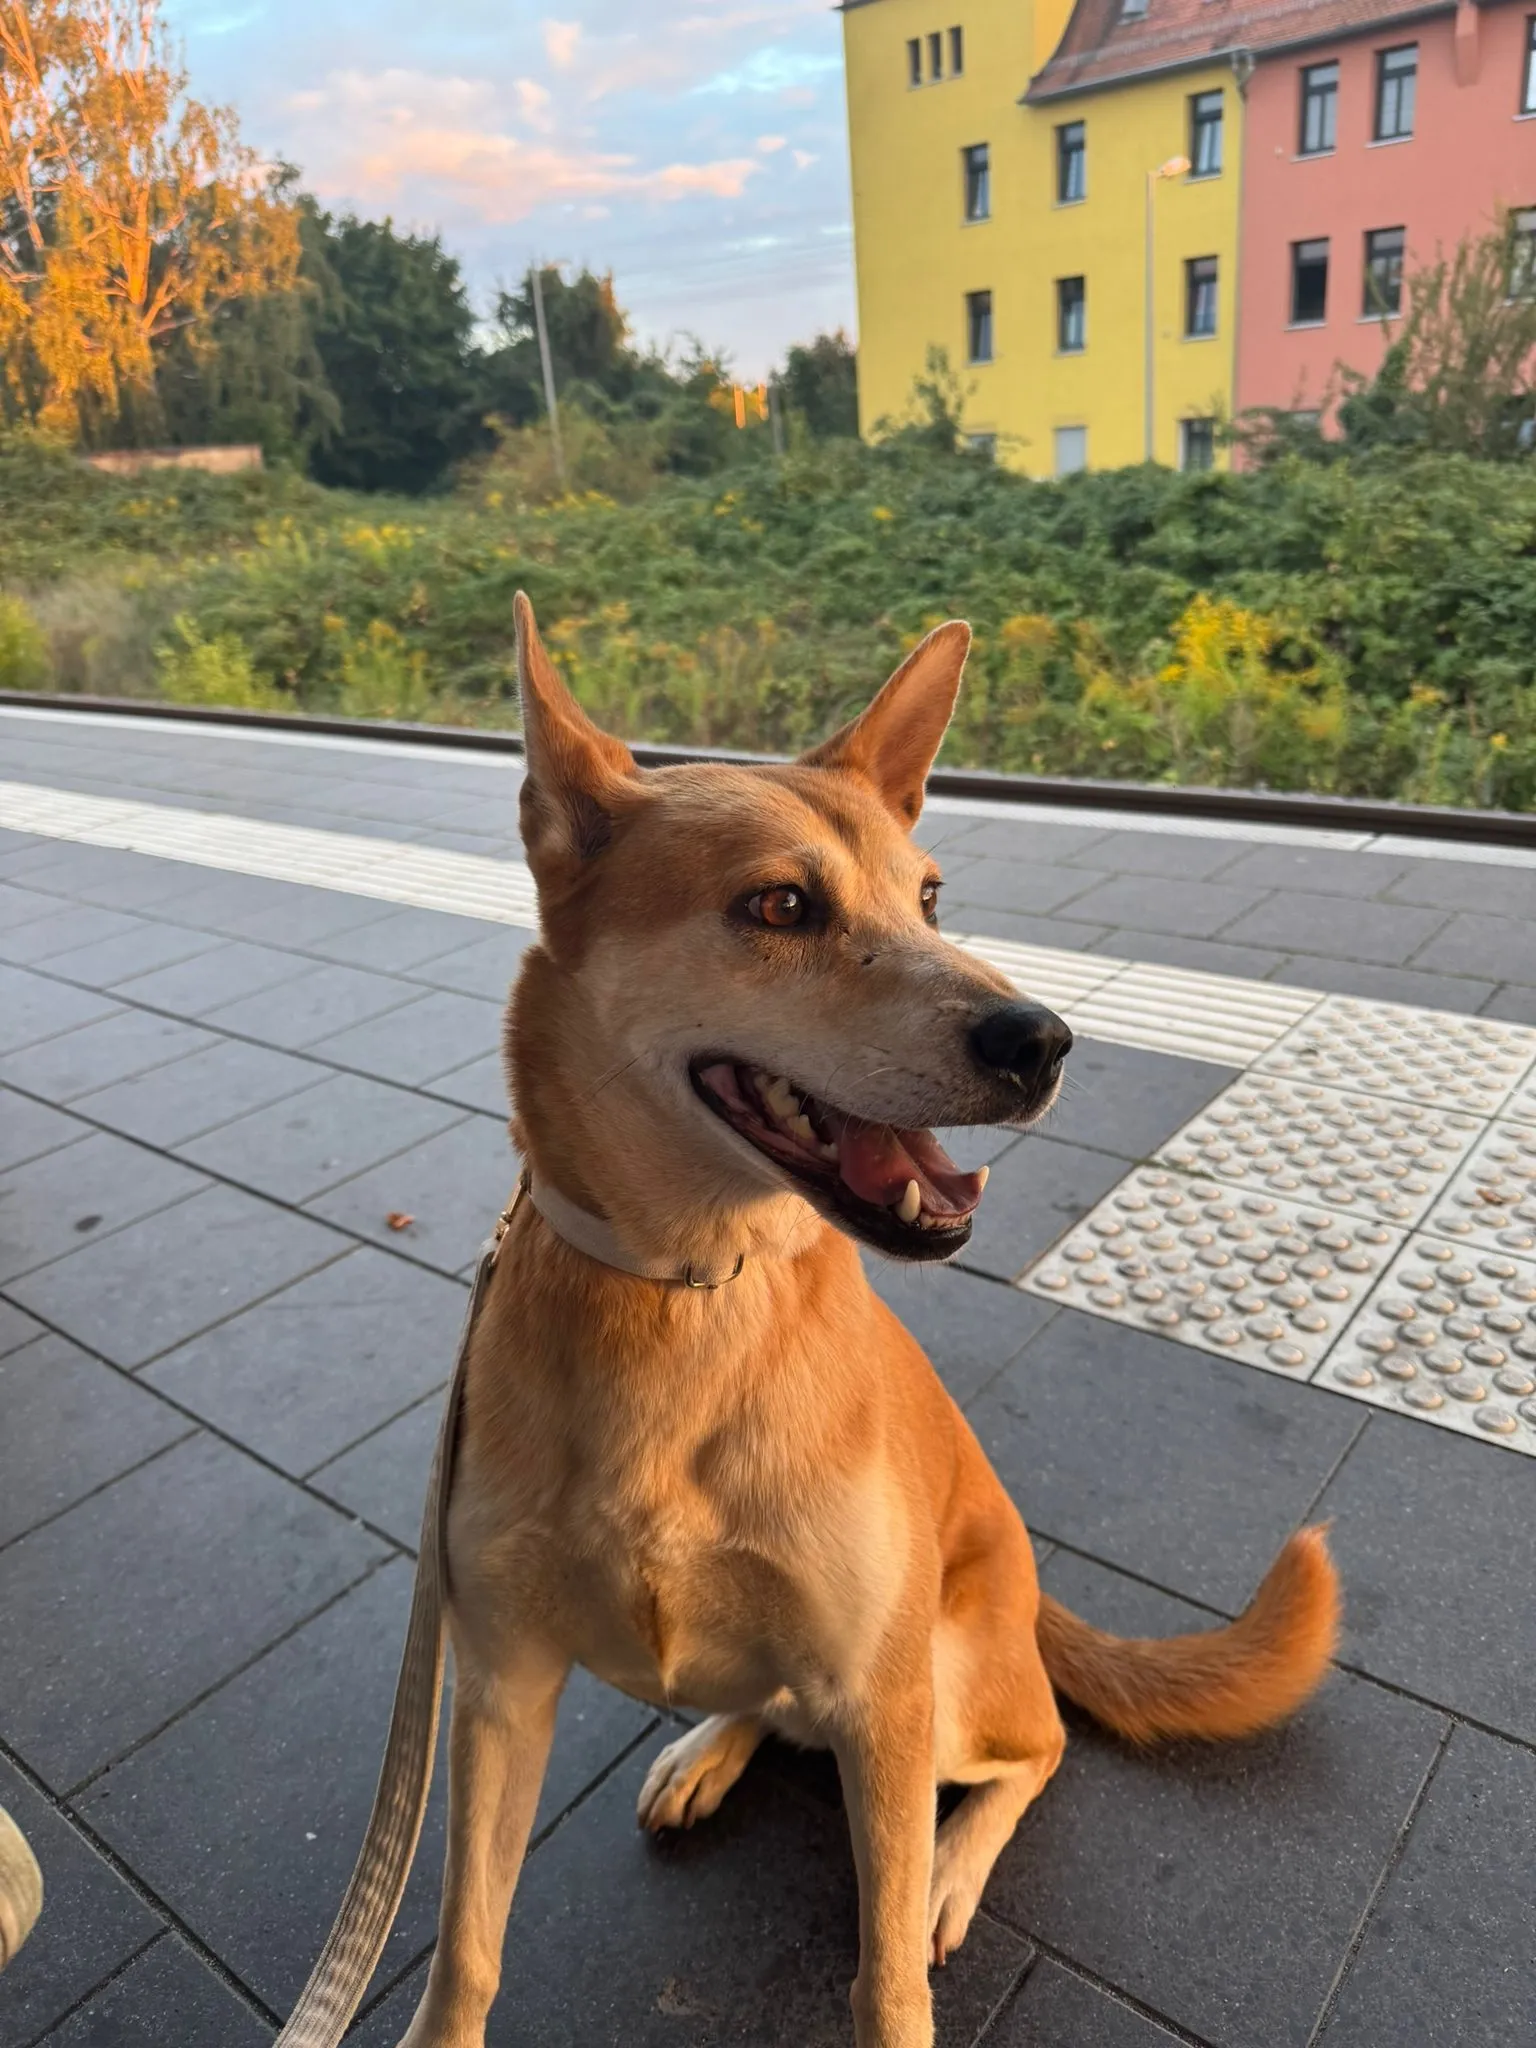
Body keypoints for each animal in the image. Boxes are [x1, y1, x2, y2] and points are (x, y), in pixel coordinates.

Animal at [396, 595, 1340, 2048]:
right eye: (779, 905)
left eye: (931, 897)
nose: (1042, 1039)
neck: (682, 1293)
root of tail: (1035, 1598)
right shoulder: (499, 1686)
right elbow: (465, 1953)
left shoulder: (883, 1702)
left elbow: (885, 1975)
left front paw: (911, 1919)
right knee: (782, 1708)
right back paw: (709, 1749)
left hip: (939, 1685)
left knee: (1037, 1748)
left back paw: (949, 1868)